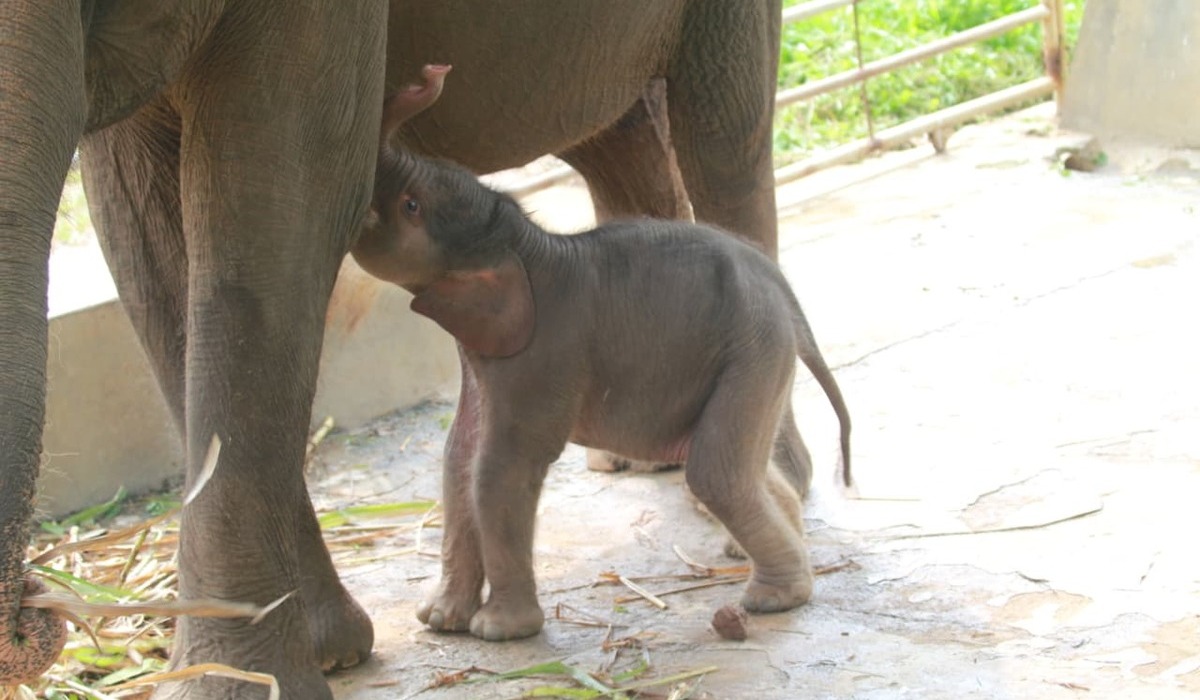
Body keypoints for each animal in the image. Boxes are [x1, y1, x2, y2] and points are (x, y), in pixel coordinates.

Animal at [0, 1, 783, 697]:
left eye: (409, 207)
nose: (35, 616)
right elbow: (142, 234)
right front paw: (330, 651)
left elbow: (285, 188)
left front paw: (250, 681)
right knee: (622, 141)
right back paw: (647, 459)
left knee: (725, 139)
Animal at [351, 65, 852, 641]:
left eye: (410, 205)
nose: (431, 75)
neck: (525, 244)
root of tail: (783, 291)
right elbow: (459, 458)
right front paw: (438, 621)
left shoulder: (544, 357)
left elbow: (501, 466)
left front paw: (498, 631)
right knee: (737, 465)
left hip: (752, 352)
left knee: (715, 472)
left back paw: (773, 599)